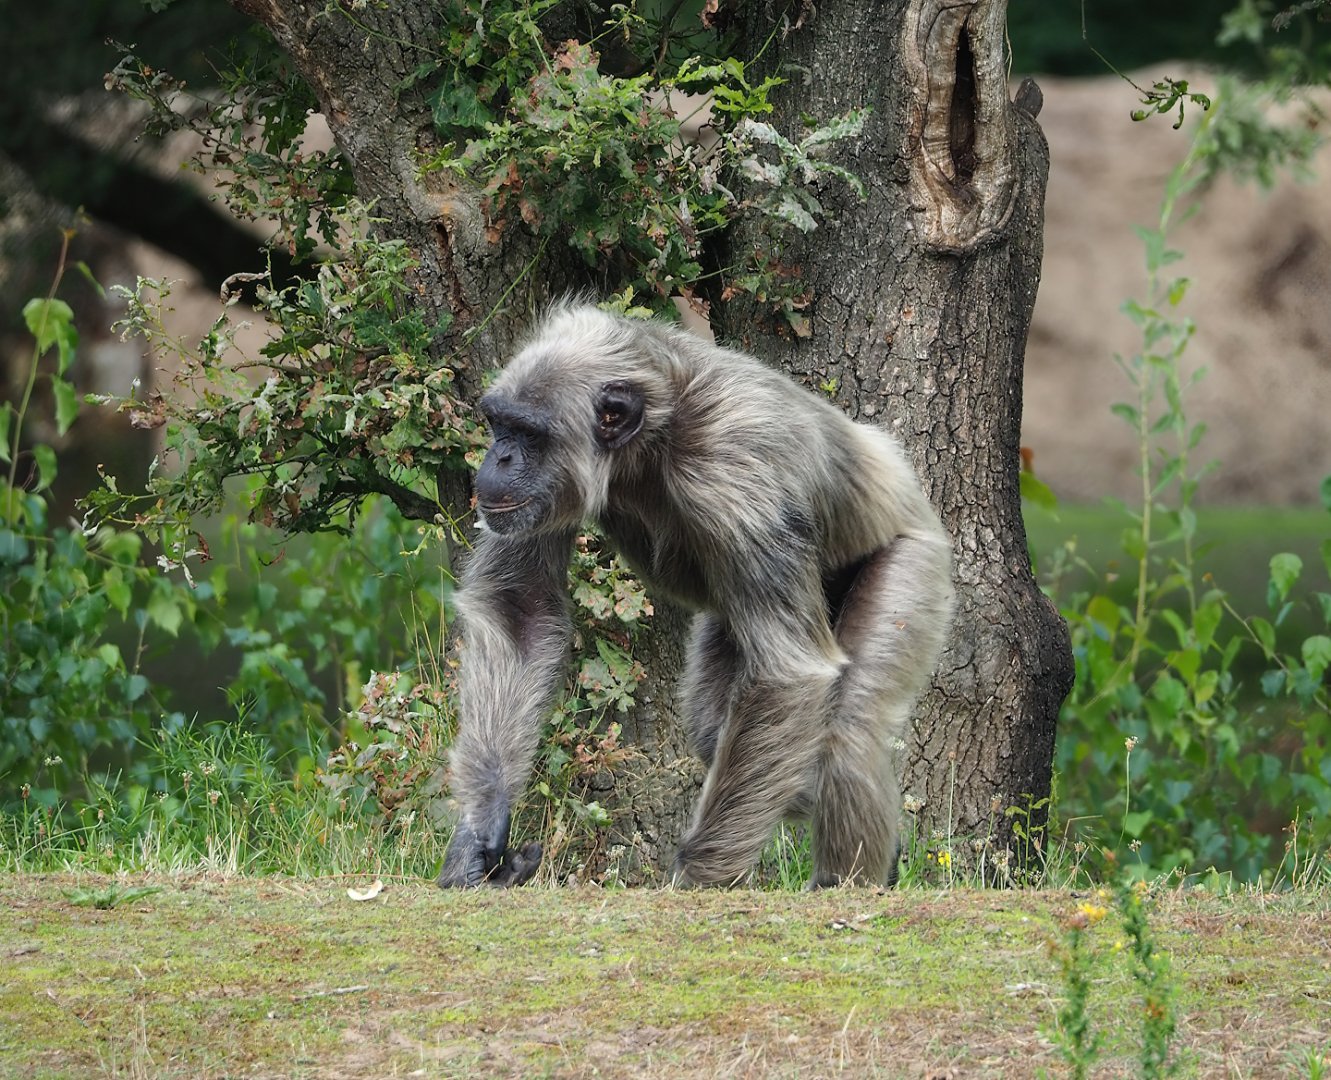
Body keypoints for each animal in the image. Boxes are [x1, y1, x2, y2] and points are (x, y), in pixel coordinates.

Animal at [435, 303, 954, 889]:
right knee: (716, 730)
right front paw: (480, 836)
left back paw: (847, 884)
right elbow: (520, 609)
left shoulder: (736, 473)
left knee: (849, 727)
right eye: (500, 423)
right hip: (730, 625)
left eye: (528, 432)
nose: (498, 457)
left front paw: (695, 881)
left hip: (914, 559)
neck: (653, 438)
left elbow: (788, 674)